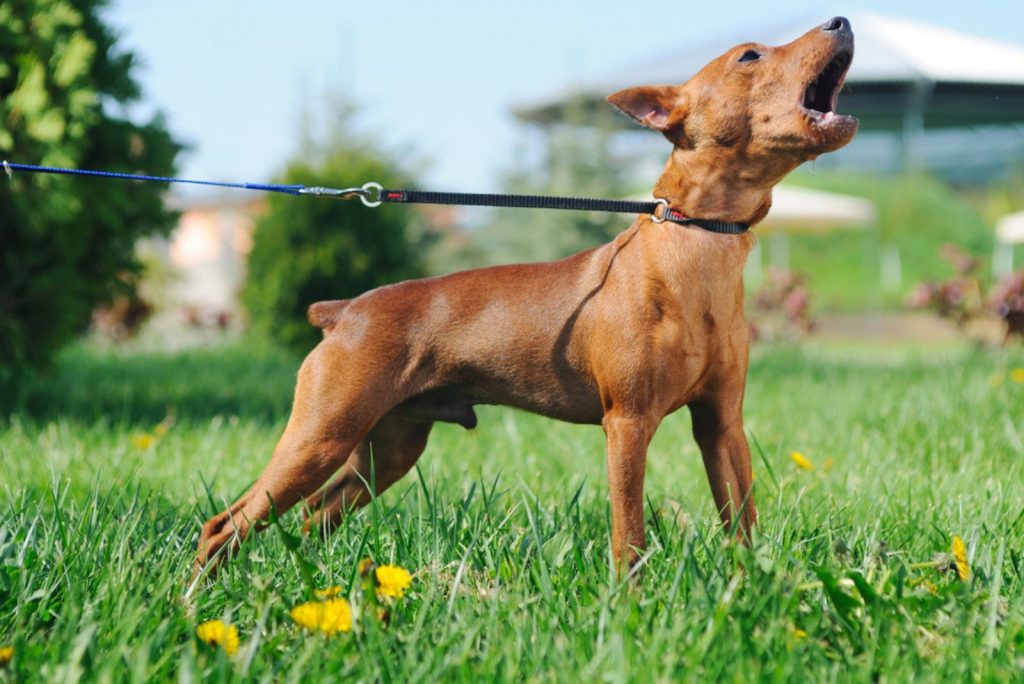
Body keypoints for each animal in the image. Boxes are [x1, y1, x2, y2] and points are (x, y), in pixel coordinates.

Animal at [192, 17, 856, 573]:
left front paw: (754, 588)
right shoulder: (628, 423)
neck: (700, 240)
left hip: (385, 452)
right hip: (322, 435)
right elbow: (629, 534)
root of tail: (344, 311)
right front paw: (629, 602)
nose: (841, 19)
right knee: (227, 523)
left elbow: (741, 524)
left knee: (310, 518)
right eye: (750, 55)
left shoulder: (721, 425)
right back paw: (197, 597)